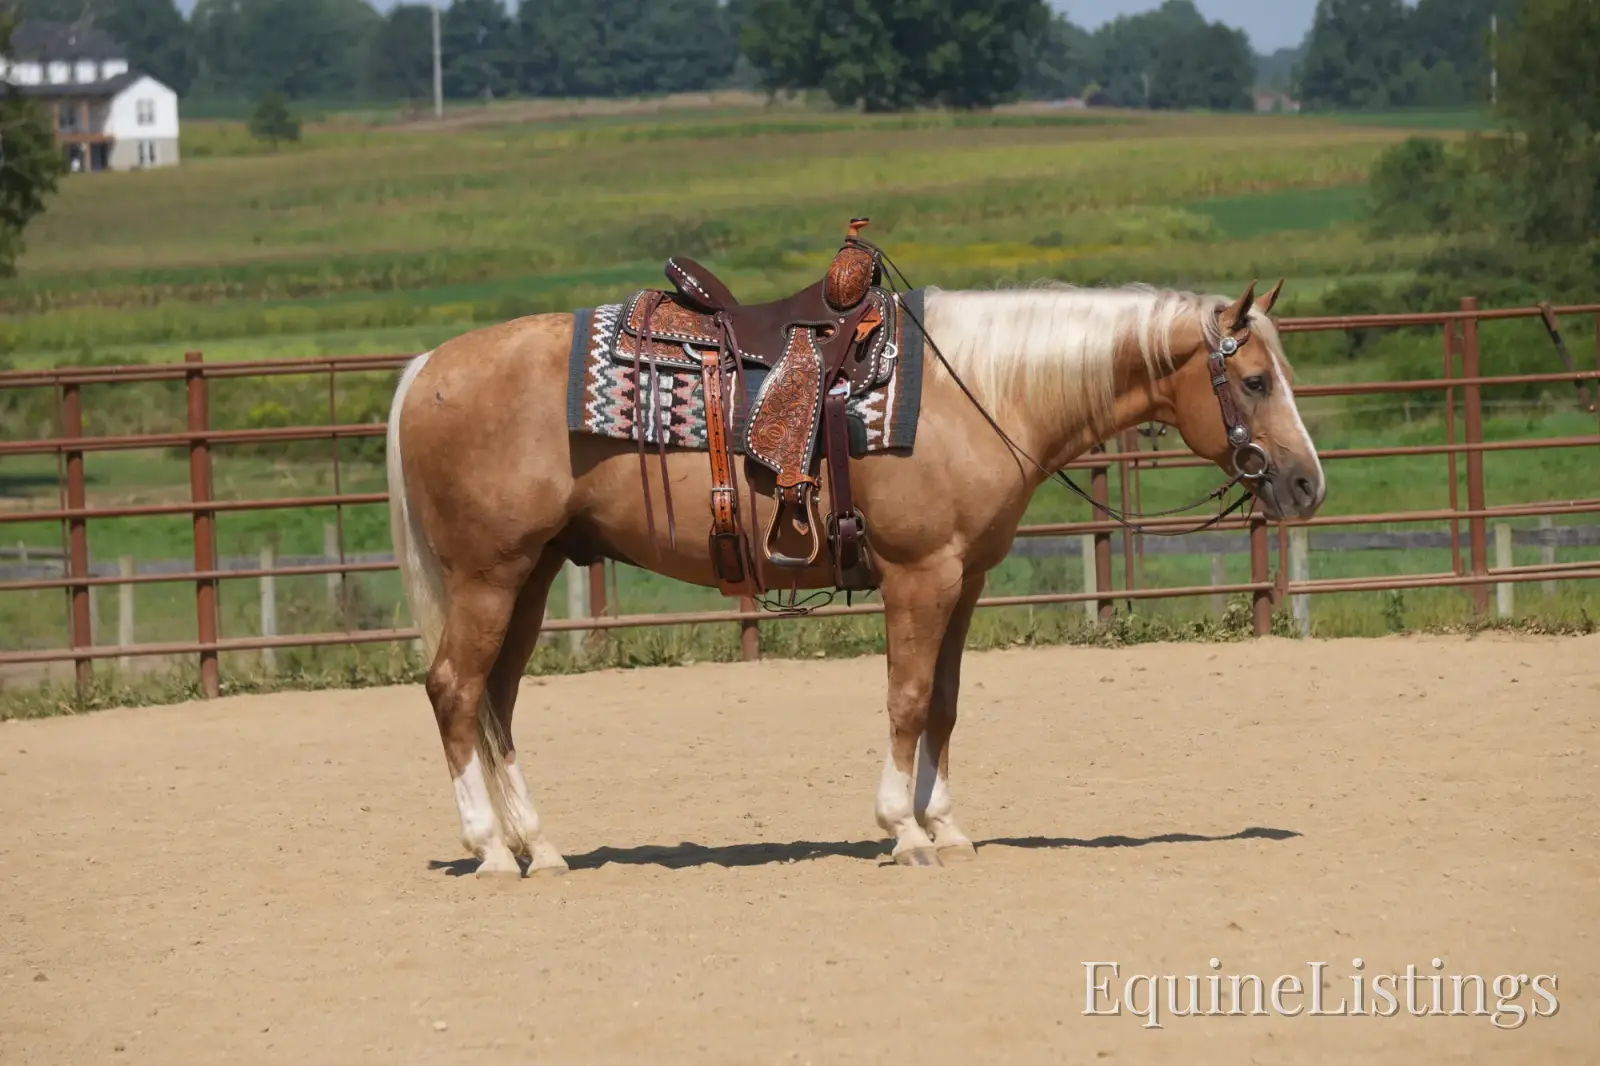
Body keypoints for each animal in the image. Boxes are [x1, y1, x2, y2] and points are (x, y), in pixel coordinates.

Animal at [384, 276, 1327, 876]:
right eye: (1253, 380)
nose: (1307, 484)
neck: (976, 392)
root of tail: (427, 367)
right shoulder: (920, 575)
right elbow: (906, 699)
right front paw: (902, 832)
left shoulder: (964, 580)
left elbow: (944, 703)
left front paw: (946, 826)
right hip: (488, 575)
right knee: (454, 691)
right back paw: (490, 850)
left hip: (532, 574)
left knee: (497, 700)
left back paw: (539, 847)